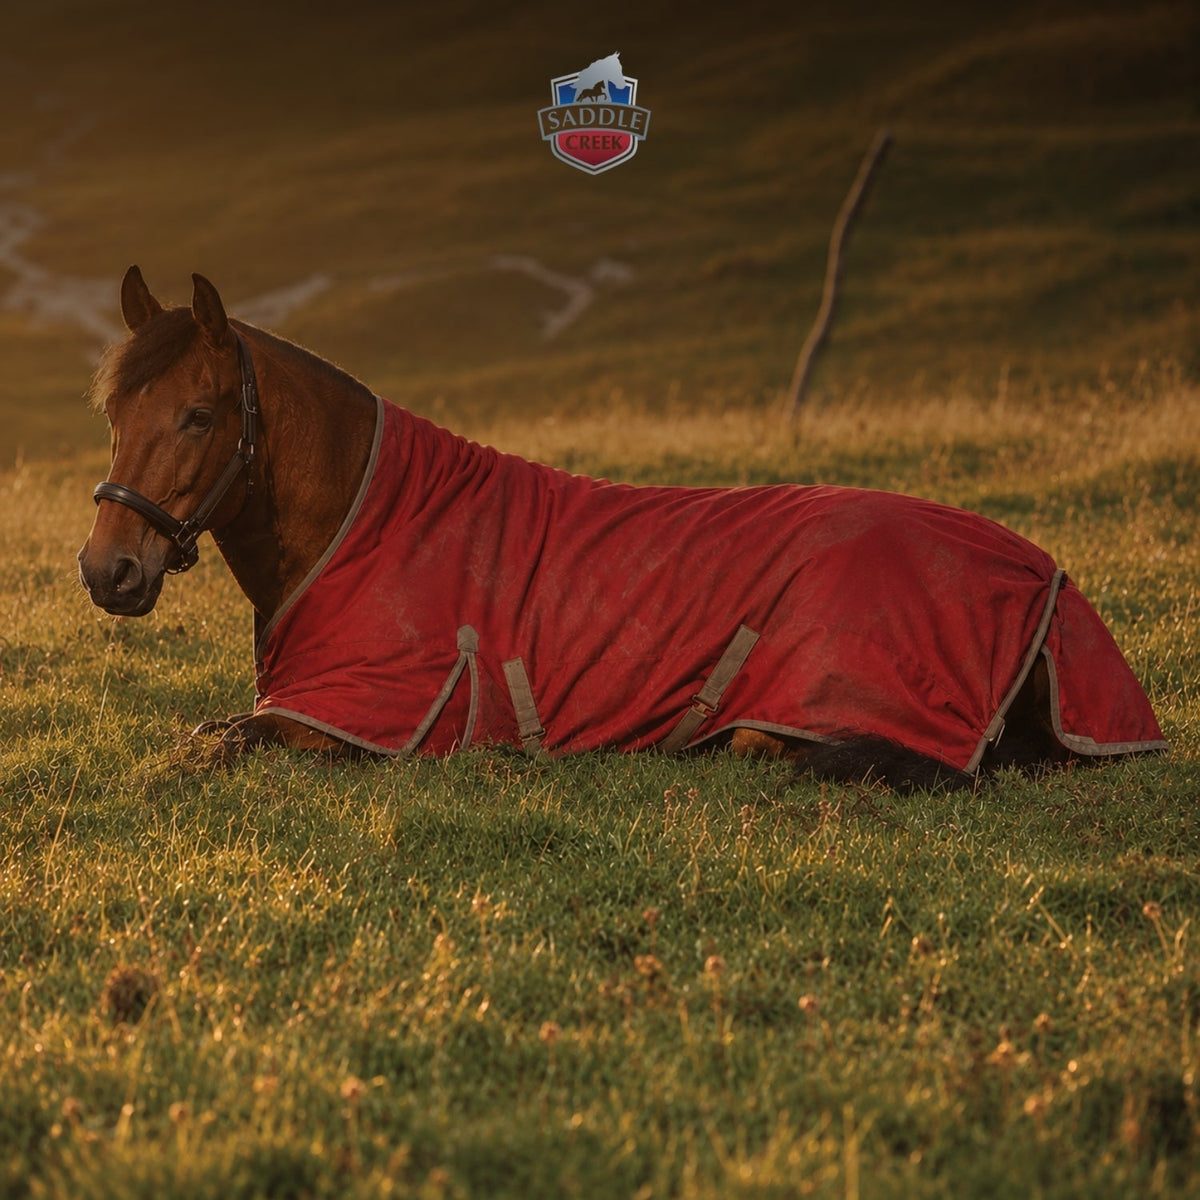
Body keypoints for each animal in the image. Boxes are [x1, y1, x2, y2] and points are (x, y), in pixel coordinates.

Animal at [78, 268, 1167, 788]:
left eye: (200, 415)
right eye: (112, 409)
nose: (107, 570)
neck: (363, 520)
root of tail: (1044, 578)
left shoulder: (341, 724)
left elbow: (205, 750)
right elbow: (200, 733)